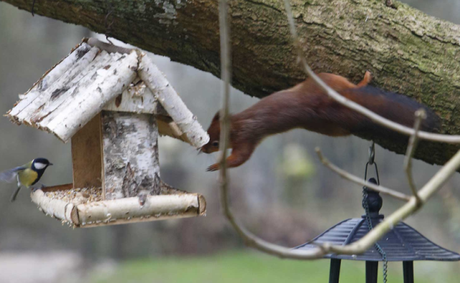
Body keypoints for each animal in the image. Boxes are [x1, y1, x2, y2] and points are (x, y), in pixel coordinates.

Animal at [202, 72, 442, 172]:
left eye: (215, 143)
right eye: (207, 130)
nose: (202, 149)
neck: (237, 125)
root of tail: (326, 103)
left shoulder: (247, 138)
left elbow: (240, 158)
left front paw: (216, 165)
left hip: (326, 77)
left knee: (353, 86)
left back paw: (364, 78)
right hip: (333, 125)